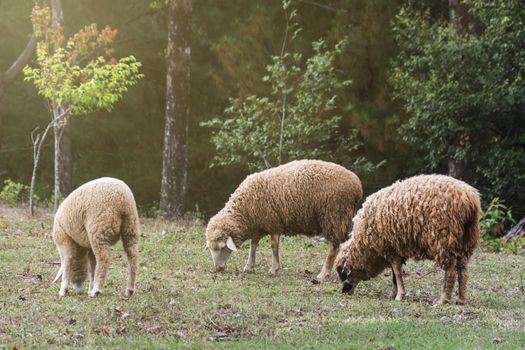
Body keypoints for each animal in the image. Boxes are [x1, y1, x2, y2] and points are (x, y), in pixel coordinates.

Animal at [204, 160, 360, 280]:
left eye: (222, 247)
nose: (217, 269)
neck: (244, 212)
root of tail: (357, 184)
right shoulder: (258, 225)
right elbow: (253, 246)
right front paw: (249, 266)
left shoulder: (273, 223)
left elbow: (274, 246)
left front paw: (274, 269)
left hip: (334, 215)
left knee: (333, 247)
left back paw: (323, 274)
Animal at [336, 174, 478, 304]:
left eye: (343, 274)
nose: (344, 292)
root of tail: (468, 199)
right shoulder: (396, 249)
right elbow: (394, 274)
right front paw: (394, 294)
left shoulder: (390, 248)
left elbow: (397, 272)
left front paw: (399, 295)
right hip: (467, 241)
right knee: (463, 271)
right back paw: (461, 300)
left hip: (444, 240)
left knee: (451, 272)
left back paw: (442, 300)